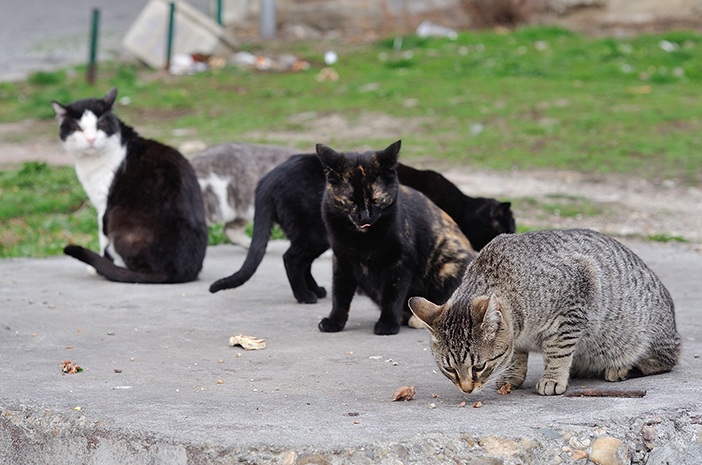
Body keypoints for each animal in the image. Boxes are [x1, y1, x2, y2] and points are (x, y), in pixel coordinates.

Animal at [52, 87, 208, 282]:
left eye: (100, 125)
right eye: (78, 128)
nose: (91, 139)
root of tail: (176, 271)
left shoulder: (104, 206)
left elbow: (102, 236)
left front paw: (98, 267)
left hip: (121, 225)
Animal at [410, 228, 684, 396]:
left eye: (478, 367)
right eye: (449, 370)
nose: (467, 389)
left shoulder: (575, 300)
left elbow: (558, 350)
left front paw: (552, 377)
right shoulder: (517, 337)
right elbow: (516, 355)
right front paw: (512, 374)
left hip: (646, 338)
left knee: (662, 362)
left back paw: (621, 368)